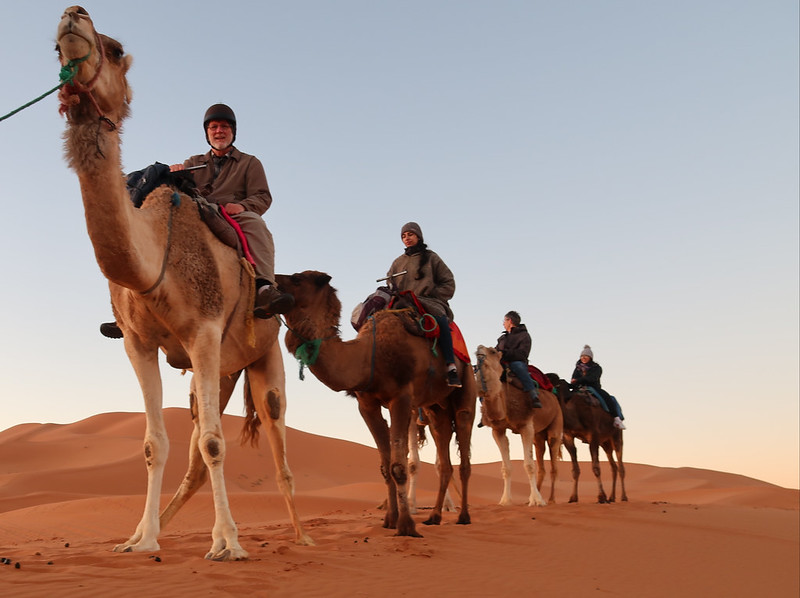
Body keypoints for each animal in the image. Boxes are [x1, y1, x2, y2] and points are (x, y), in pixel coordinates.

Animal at [55, 7, 312, 564]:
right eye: (53, 48)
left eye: (114, 48)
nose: (72, 15)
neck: (155, 261)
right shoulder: (138, 342)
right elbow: (156, 444)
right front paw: (142, 539)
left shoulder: (205, 332)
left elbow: (216, 443)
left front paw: (232, 545)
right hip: (217, 373)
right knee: (198, 441)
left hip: (263, 357)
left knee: (277, 439)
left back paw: (299, 536)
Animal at [276, 272, 476, 540]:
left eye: (297, 279)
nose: (272, 281)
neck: (370, 355)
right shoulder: (367, 405)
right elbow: (384, 466)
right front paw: (390, 520)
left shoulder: (401, 398)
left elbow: (398, 466)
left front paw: (407, 526)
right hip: (435, 408)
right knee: (444, 453)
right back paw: (434, 516)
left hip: (466, 389)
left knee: (464, 452)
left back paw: (464, 516)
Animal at [476, 346, 564, 506]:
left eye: (492, 351)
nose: (479, 349)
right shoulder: (497, 430)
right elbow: (506, 467)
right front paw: (505, 500)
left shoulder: (526, 426)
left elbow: (529, 465)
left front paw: (537, 501)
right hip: (538, 436)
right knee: (541, 462)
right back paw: (534, 497)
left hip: (556, 424)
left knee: (554, 464)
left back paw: (550, 499)